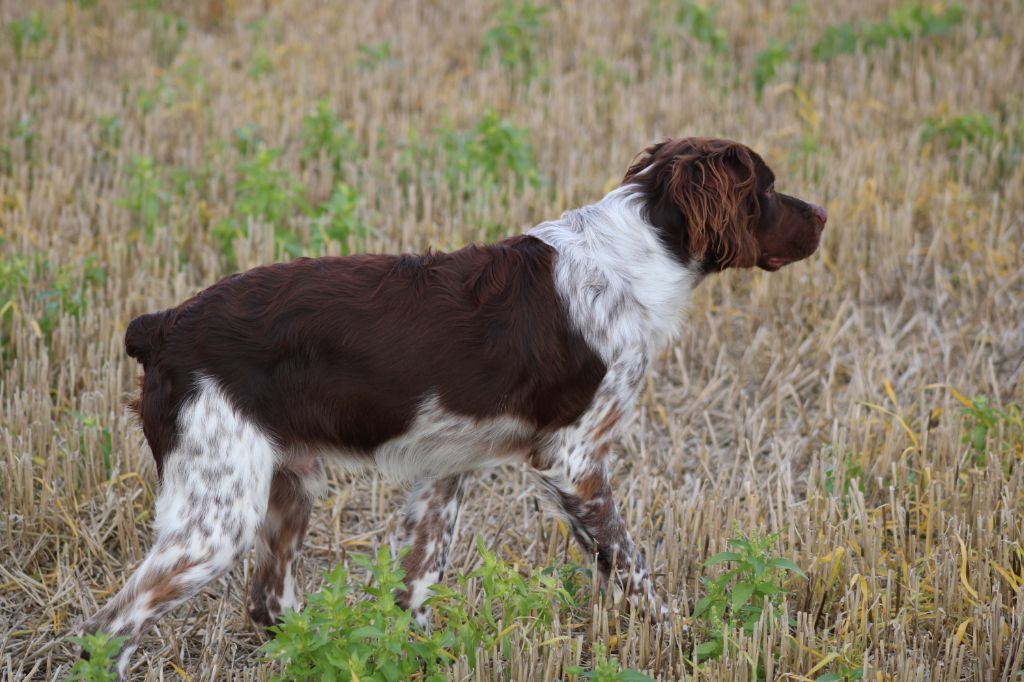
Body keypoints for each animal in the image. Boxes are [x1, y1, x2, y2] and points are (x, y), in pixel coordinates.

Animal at [83, 137, 827, 667]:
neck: (635, 256)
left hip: (283, 490)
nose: (823, 216)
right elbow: (631, 571)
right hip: (215, 514)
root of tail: (161, 325)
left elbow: (414, 585)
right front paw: (683, 640)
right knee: (110, 626)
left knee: (267, 604)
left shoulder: (445, 470)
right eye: (766, 188)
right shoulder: (574, 463)